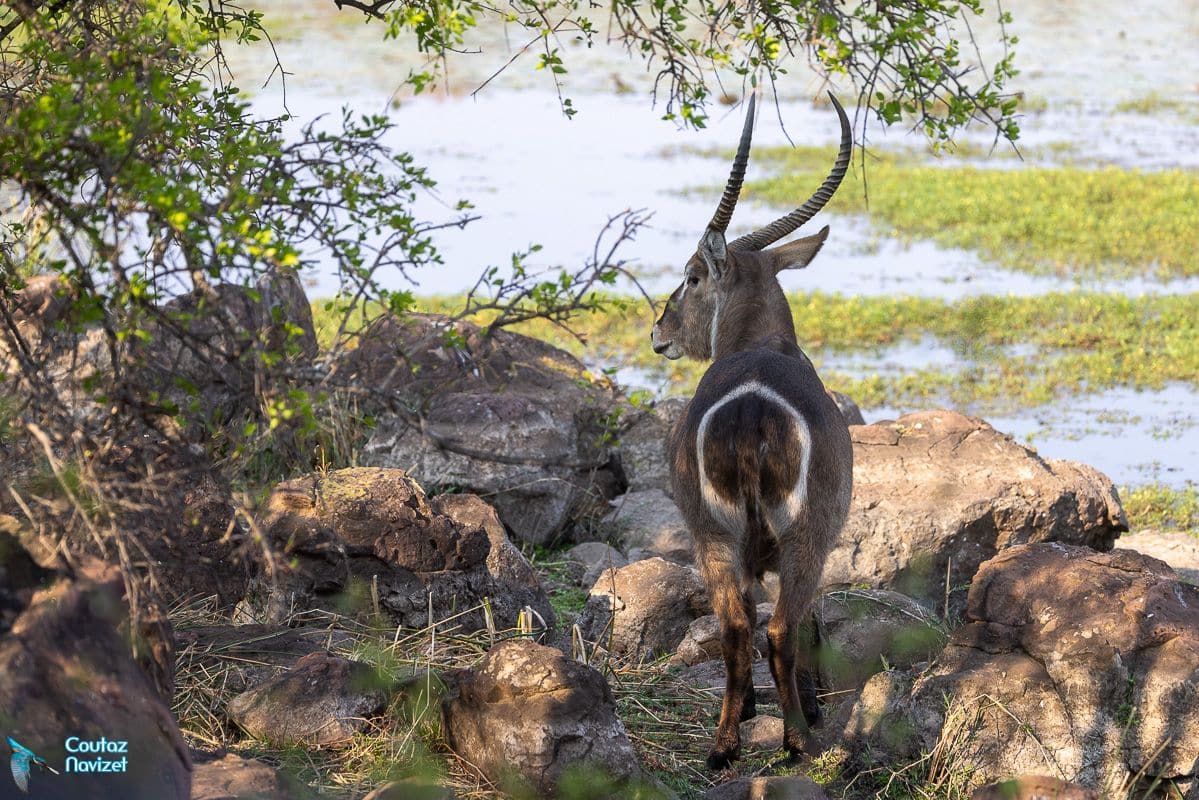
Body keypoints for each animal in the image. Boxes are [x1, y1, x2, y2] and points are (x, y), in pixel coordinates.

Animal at [650, 92, 854, 768]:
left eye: (690, 276)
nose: (658, 332)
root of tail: (751, 412)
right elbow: (811, 622)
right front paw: (809, 708)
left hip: (711, 534)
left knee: (737, 629)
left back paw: (724, 745)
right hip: (802, 536)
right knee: (780, 628)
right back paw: (796, 740)